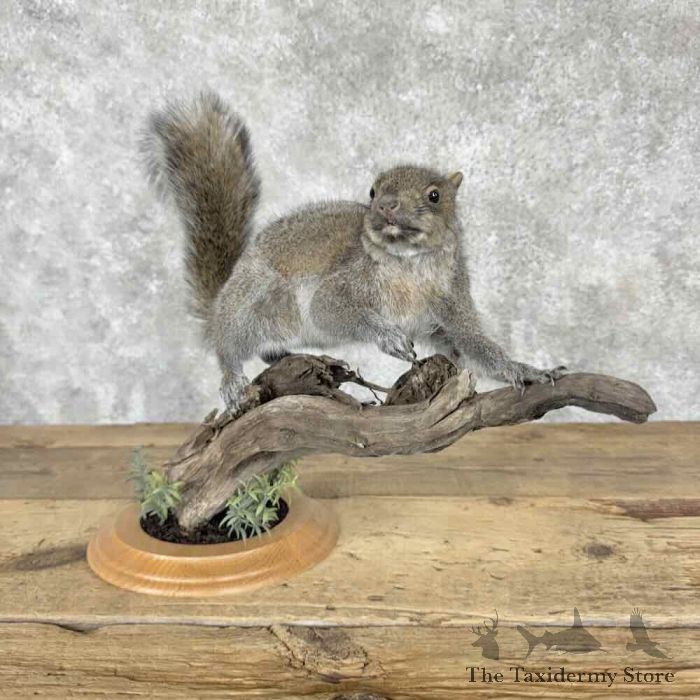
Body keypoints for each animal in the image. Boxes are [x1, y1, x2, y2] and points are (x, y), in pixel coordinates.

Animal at [143, 91, 565, 412]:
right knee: (229, 346)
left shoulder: (451, 300)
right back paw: (232, 378)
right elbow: (330, 310)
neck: (408, 265)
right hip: (259, 302)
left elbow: (472, 344)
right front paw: (388, 337)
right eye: (373, 191)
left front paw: (523, 369)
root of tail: (221, 301)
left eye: (435, 195)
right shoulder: (344, 281)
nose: (387, 205)